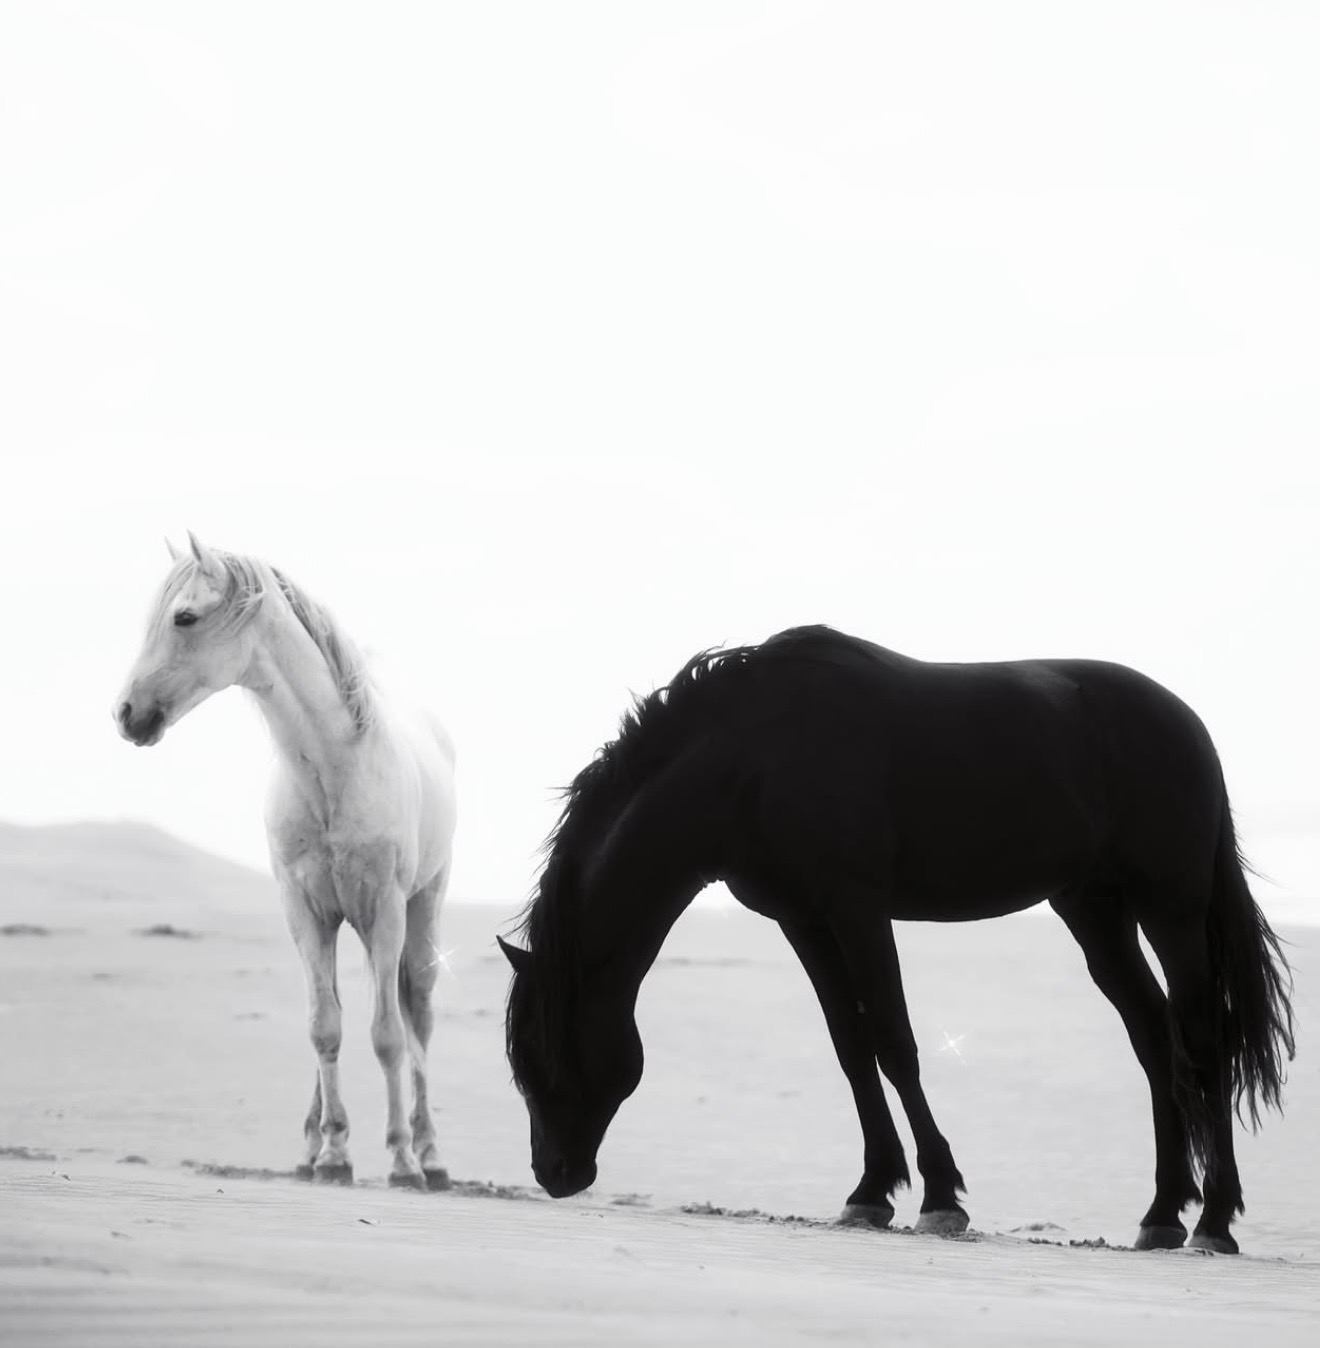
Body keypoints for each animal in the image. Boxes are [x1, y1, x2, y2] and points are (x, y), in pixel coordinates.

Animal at [114, 533, 457, 1189]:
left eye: (185, 617)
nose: (125, 713)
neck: (334, 768)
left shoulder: (387, 911)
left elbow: (388, 1036)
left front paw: (401, 1159)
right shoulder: (303, 910)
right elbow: (324, 1028)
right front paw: (332, 1154)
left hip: (423, 908)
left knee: (419, 1017)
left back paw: (431, 1154)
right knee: (335, 1013)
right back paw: (312, 1145)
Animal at [500, 624, 1294, 1253]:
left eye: (543, 1050)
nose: (552, 1173)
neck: (752, 758)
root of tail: (1187, 725)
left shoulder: (857, 906)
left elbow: (893, 1040)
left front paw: (940, 1196)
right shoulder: (803, 919)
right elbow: (851, 1048)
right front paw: (870, 1190)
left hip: (1172, 910)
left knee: (1204, 1041)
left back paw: (1214, 1222)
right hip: (1093, 910)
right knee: (1154, 1039)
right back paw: (1162, 1213)